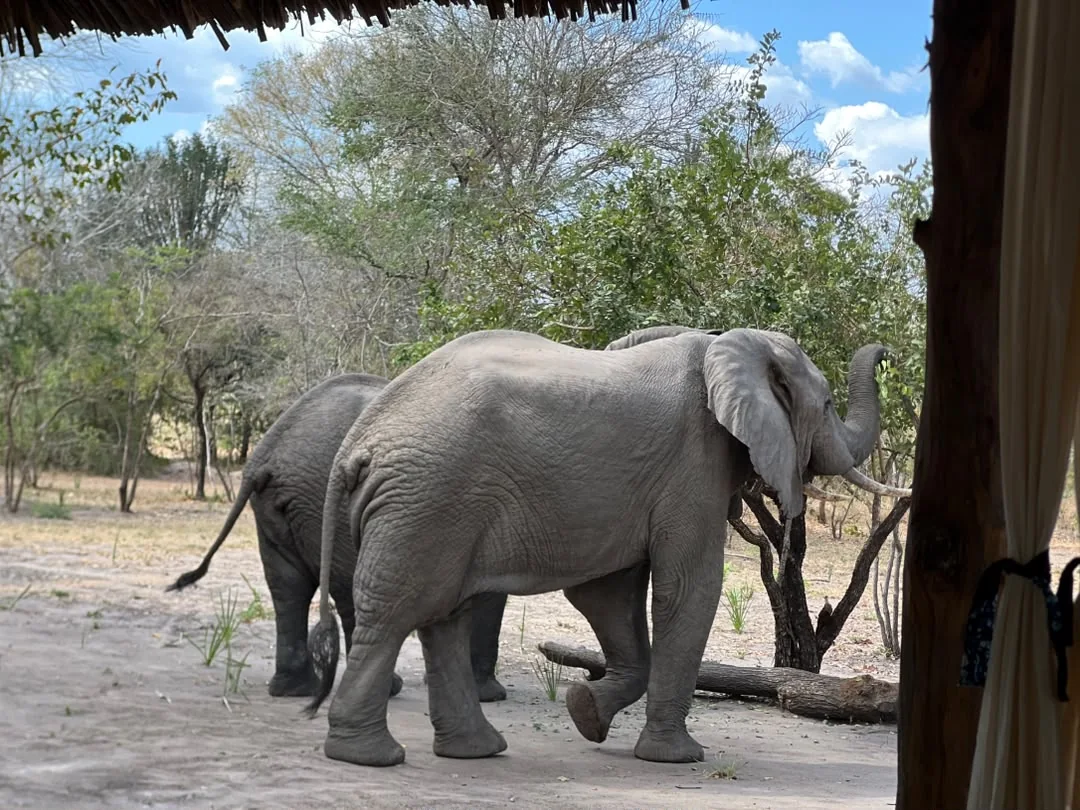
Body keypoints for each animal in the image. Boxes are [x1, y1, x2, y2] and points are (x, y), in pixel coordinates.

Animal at [166, 372, 509, 702]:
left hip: (279, 505)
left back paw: (294, 689)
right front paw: (489, 697)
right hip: (333, 500)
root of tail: (266, 453)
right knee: (348, 586)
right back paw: (386, 690)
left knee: (288, 586)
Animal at [304, 327, 888, 768]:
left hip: (436, 506)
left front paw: (584, 710)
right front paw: (678, 758)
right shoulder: (693, 466)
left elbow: (607, 597)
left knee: (443, 616)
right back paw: (369, 757)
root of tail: (359, 440)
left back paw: (475, 751)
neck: (728, 347)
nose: (887, 353)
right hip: (429, 495)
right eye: (828, 404)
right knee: (398, 613)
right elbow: (687, 590)